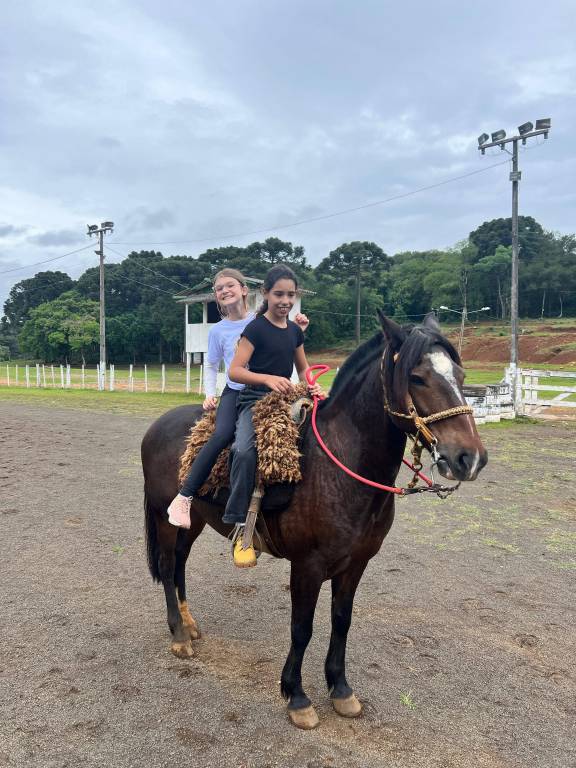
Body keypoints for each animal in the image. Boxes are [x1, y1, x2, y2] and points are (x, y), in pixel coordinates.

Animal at [141, 312, 487, 729]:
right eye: (417, 377)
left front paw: (341, 689)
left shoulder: (355, 564)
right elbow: (301, 628)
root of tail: (157, 426)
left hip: (193, 521)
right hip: (166, 518)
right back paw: (179, 636)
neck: (341, 464)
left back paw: (189, 625)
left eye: (461, 375)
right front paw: (297, 696)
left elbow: (341, 621)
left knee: (178, 564)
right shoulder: (307, 566)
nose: (469, 458)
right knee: (166, 564)